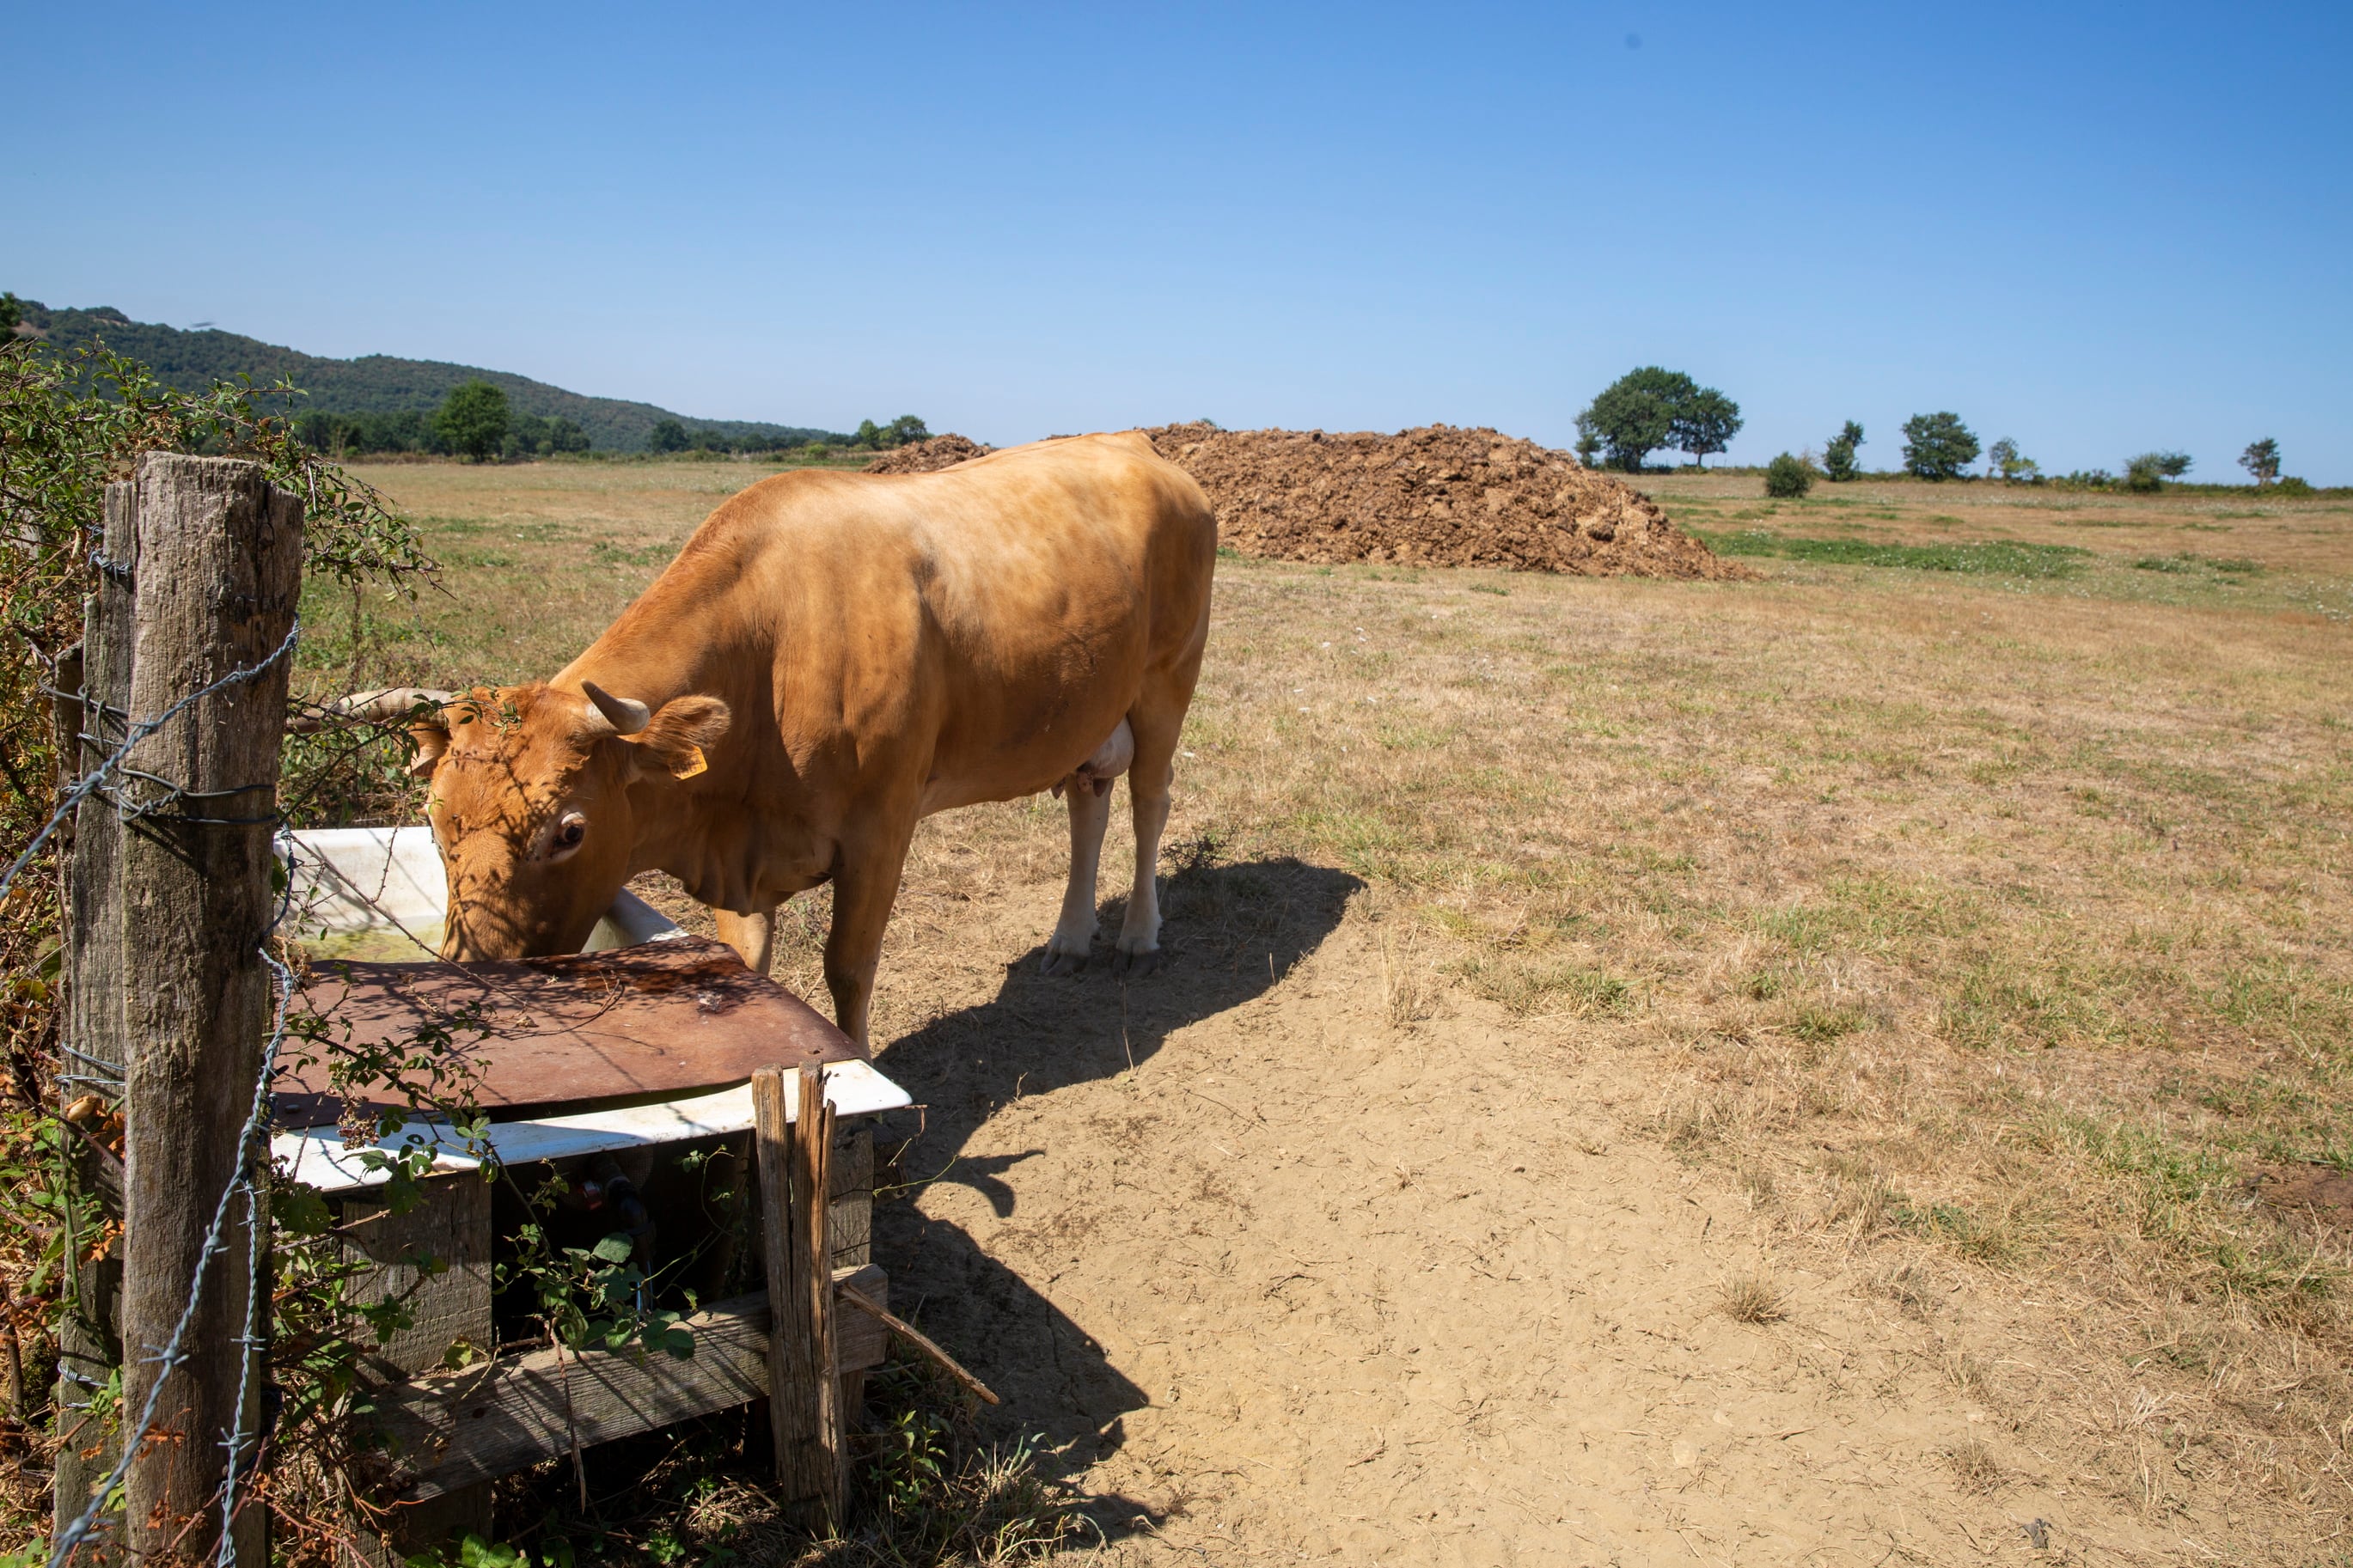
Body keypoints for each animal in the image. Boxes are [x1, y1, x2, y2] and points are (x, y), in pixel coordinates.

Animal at [390, 432, 1213, 1043]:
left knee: (1150, 800)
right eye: (432, 822)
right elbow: (749, 964)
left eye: (568, 831)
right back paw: (1070, 939)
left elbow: (849, 967)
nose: (470, 977)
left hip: (1166, 682)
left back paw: (1138, 936)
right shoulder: (738, 852)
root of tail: (1138, 444)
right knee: (1089, 801)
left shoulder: (882, 827)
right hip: (1088, 706)